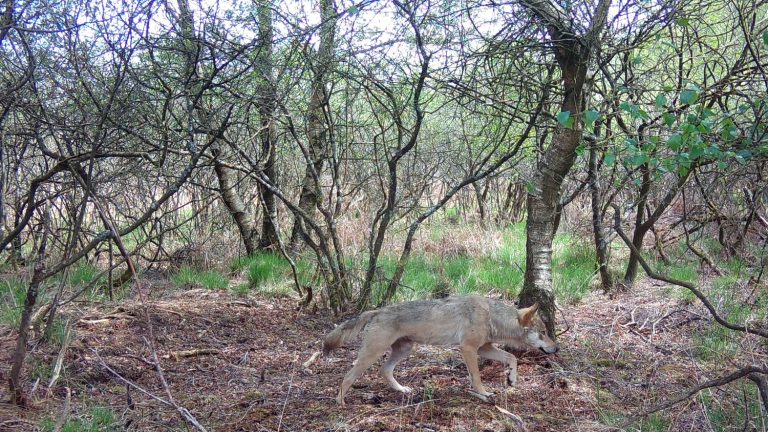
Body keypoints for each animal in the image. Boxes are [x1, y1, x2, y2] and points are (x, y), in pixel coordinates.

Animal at [322, 296, 560, 406]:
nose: (556, 348)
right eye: (543, 332)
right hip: (372, 353)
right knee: (348, 376)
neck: (491, 316)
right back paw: (340, 402)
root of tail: (377, 311)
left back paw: (402, 390)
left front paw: (511, 379)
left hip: (404, 350)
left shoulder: (484, 348)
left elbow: (512, 358)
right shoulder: (468, 349)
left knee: (384, 370)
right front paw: (483, 394)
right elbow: (476, 377)